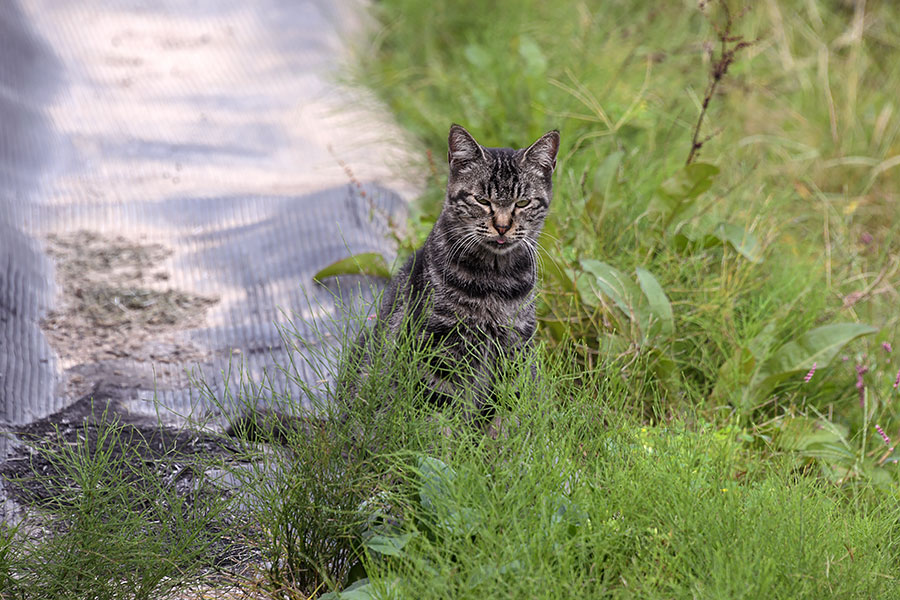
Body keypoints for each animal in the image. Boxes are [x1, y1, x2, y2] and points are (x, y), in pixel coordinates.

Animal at [348, 124, 560, 420]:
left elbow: (506, 410)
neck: (495, 279)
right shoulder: (440, 345)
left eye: (522, 203)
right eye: (482, 200)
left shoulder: (515, 347)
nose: (502, 226)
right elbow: (439, 412)